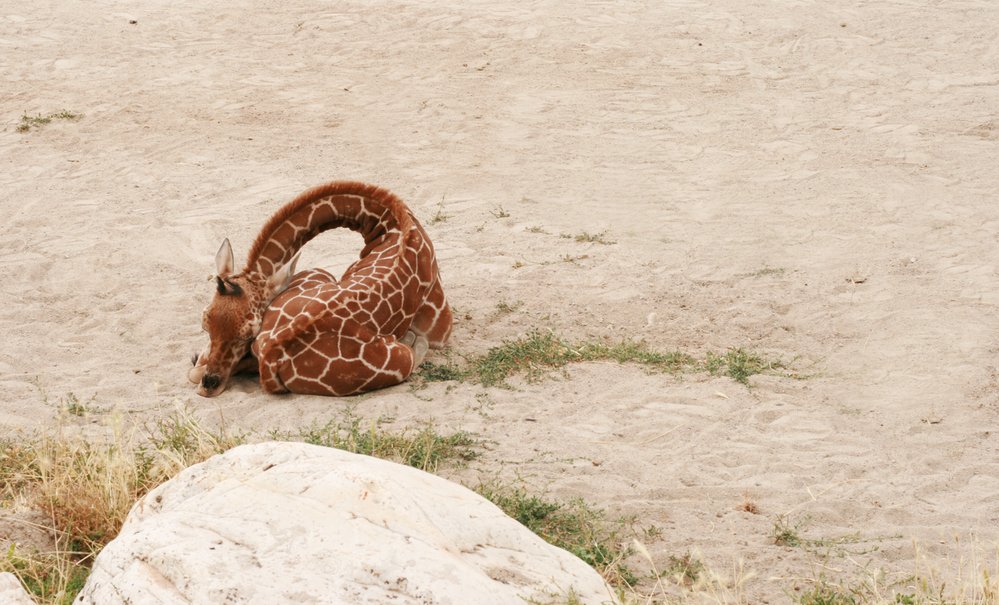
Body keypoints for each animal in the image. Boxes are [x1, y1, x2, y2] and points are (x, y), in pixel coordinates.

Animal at [188, 179, 454, 396]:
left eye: (248, 333)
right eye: (205, 323)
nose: (209, 385)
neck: (392, 225)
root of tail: (275, 352)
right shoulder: (440, 328)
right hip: (397, 359)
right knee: (413, 351)